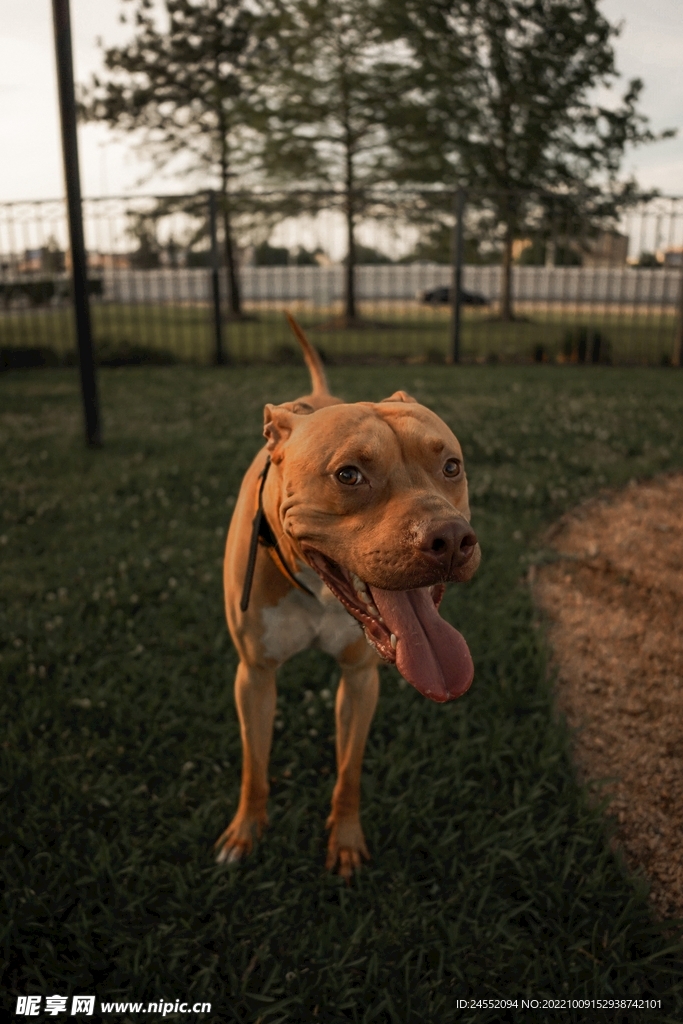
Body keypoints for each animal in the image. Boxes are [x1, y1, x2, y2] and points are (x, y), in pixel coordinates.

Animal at [218, 315, 481, 876]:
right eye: (348, 475)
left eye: (451, 466)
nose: (450, 539)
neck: (318, 590)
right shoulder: (254, 676)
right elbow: (255, 765)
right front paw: (245, 832)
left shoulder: (361, 680)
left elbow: (349, 771)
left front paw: (345, 839)